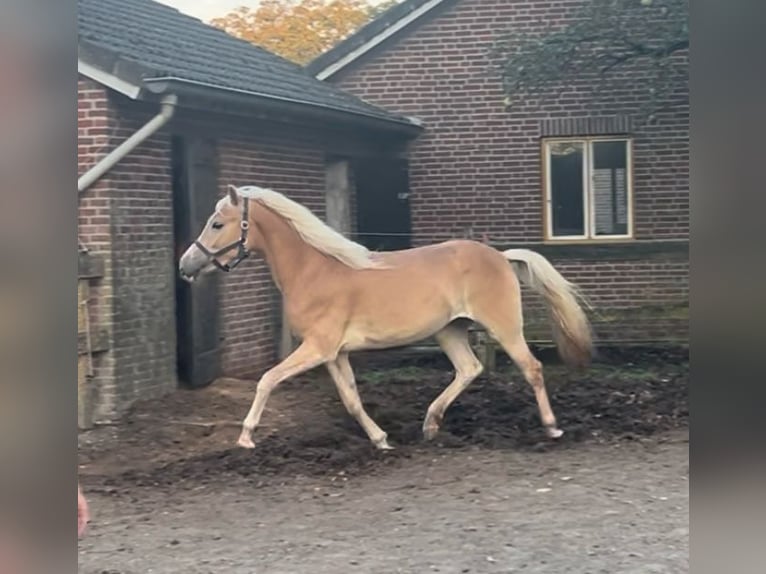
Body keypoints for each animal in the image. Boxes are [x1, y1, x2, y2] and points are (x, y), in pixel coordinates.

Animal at [180, 187, 592, 452]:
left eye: (216, 224)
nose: (186, 264)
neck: (315, 270)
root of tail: (502, 256)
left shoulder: (318, 348)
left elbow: (267, 379)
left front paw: (246, 436)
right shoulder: (335, 354)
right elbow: (351, 399)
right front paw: (381, 440)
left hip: (503, 327)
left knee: (531, 368)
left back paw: (551, 428)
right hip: (449, 331)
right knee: (469, 369)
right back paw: (430, 424)